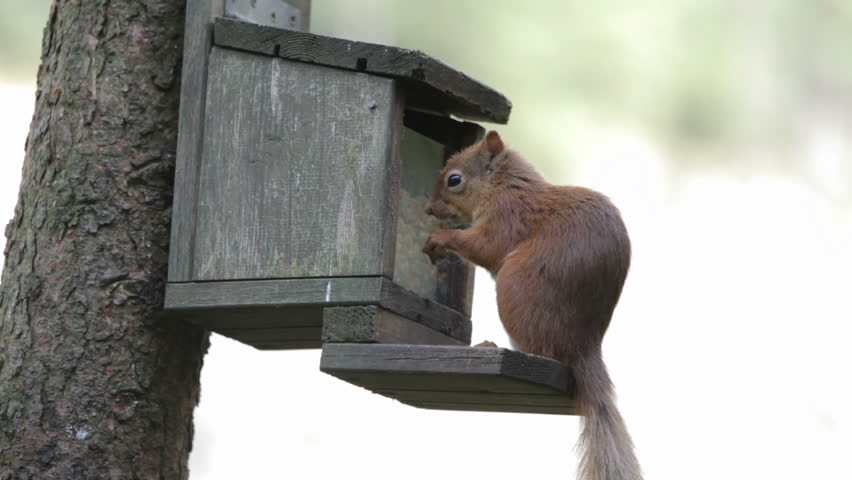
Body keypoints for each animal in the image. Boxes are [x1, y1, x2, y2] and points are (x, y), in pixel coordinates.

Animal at [423, 131, 641, 480]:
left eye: (454, 179)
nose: (429, 209)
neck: (503, 185)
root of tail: (584, 346)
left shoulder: (508, 216)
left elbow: (486, 247)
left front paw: (442, 238)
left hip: (514, 287)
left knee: (543, 352)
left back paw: (489, 346)